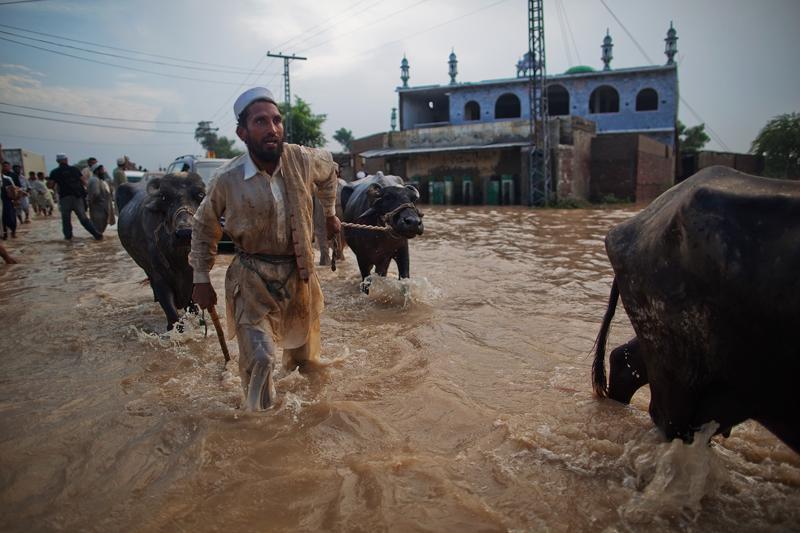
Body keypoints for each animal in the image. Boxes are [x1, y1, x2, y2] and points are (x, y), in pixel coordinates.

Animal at [118, 172, 208, 328]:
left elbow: (193, 306)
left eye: (200, 194)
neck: (181, 258)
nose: (185, 233)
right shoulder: (160, 278)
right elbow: (173, 315)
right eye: (166, 198)